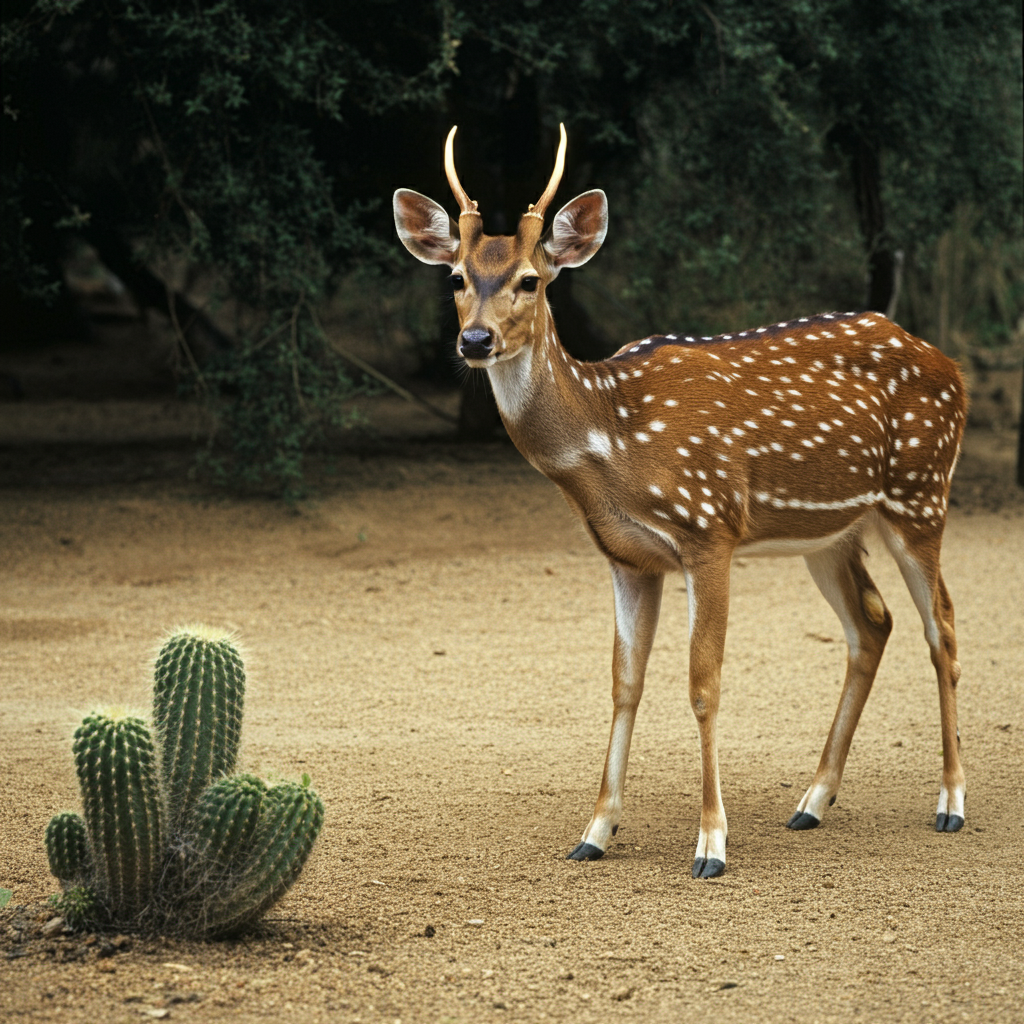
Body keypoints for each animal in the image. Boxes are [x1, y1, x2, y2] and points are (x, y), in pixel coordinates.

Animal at [391, 123, 966, 876]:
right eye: (457, 277)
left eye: (530, 280)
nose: (475, 339)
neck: (611, 444)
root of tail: (952, 367)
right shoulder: (626, 557)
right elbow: (623, 682)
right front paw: (594, 832)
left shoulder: (709, 528)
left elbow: (703, 683)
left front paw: (712, 844)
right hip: (833, 532)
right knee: (873, 623)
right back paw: (812, 801)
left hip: (920, 494)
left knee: (943, 626)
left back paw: (950, 802)